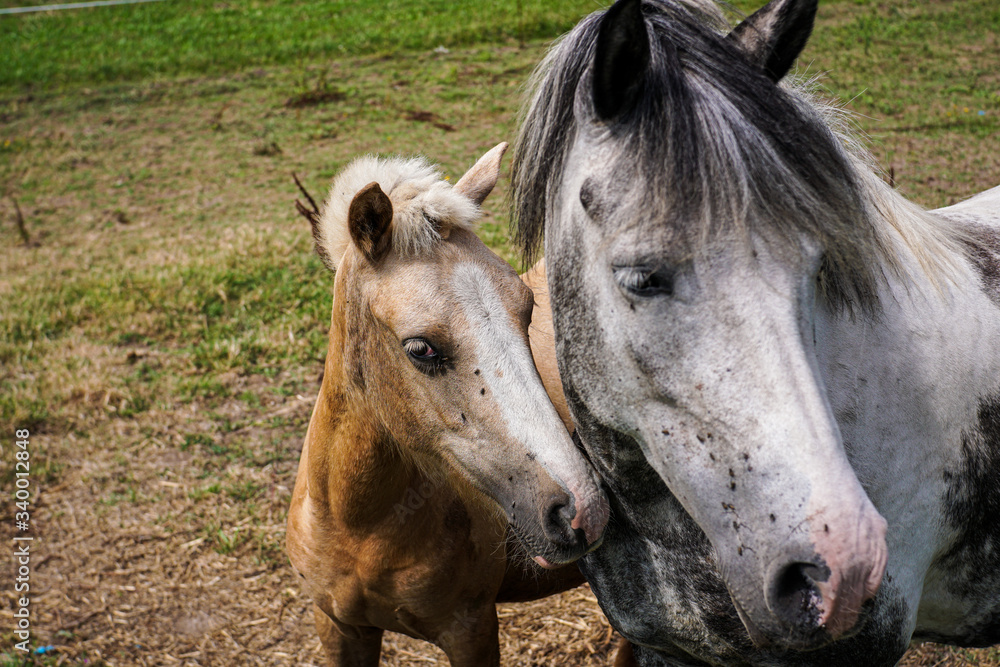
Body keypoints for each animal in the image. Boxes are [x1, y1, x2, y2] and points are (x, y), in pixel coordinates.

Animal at [285, 143, 609, 666]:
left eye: (527, 309)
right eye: (420, 348)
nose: (582, 512)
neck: (357, 526)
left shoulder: (469, 628)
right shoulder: (336, 625)